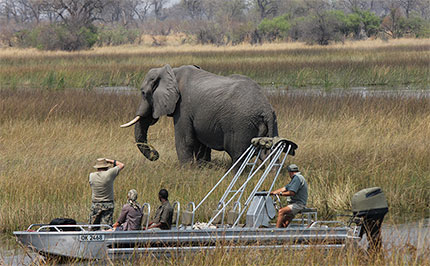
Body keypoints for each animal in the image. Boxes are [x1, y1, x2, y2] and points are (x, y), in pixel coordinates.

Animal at [120, 64, 296, 164]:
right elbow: (200, 142)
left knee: (238, 155)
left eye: (143, 93)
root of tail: (266, 108)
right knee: (268, 153)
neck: (172, 72)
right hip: (271, 124)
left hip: (241, 125)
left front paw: (187, 169)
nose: (155, 154)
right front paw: (202, 167)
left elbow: (185, 140)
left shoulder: (183, 107)